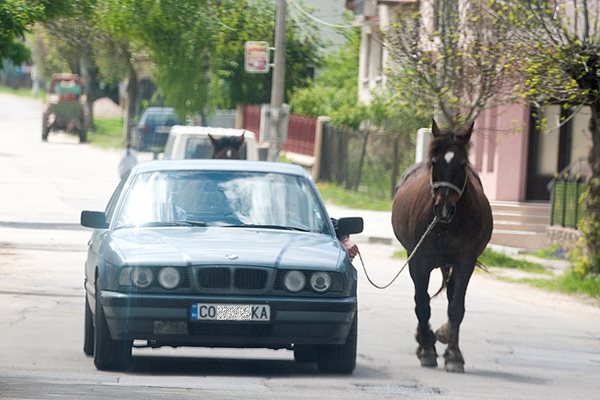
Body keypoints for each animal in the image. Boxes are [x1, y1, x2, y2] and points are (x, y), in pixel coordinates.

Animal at [392, 118, 494, 372]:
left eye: (462, 164)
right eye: (435, 162)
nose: (444, 208)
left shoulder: (465, 263)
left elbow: (456, 307)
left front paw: (454, 355)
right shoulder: (419, 262)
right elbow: (422, 303)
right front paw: (427, 350)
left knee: (449, 296)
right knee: (422, 299)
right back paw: (424, 341)